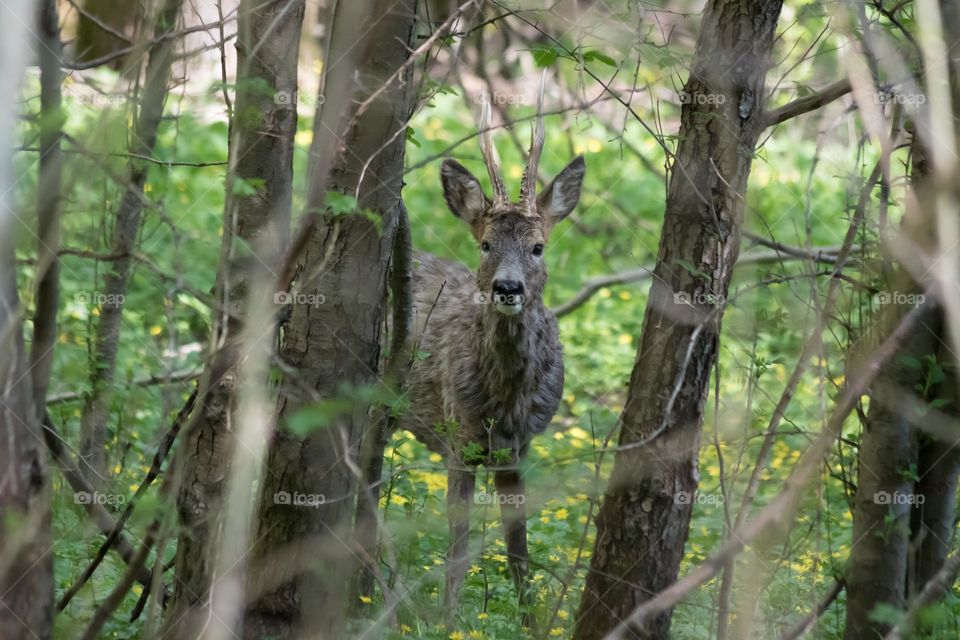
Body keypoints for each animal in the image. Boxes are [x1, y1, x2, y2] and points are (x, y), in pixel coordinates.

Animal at [358, 78, 585, 621]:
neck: (504, 399)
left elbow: (519, 547)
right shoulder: (457, 436)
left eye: (538, 246)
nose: (508, 287)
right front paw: (447, 620)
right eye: (485, 244)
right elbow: (458, 548)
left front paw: (528, 621)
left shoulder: (519, 446)